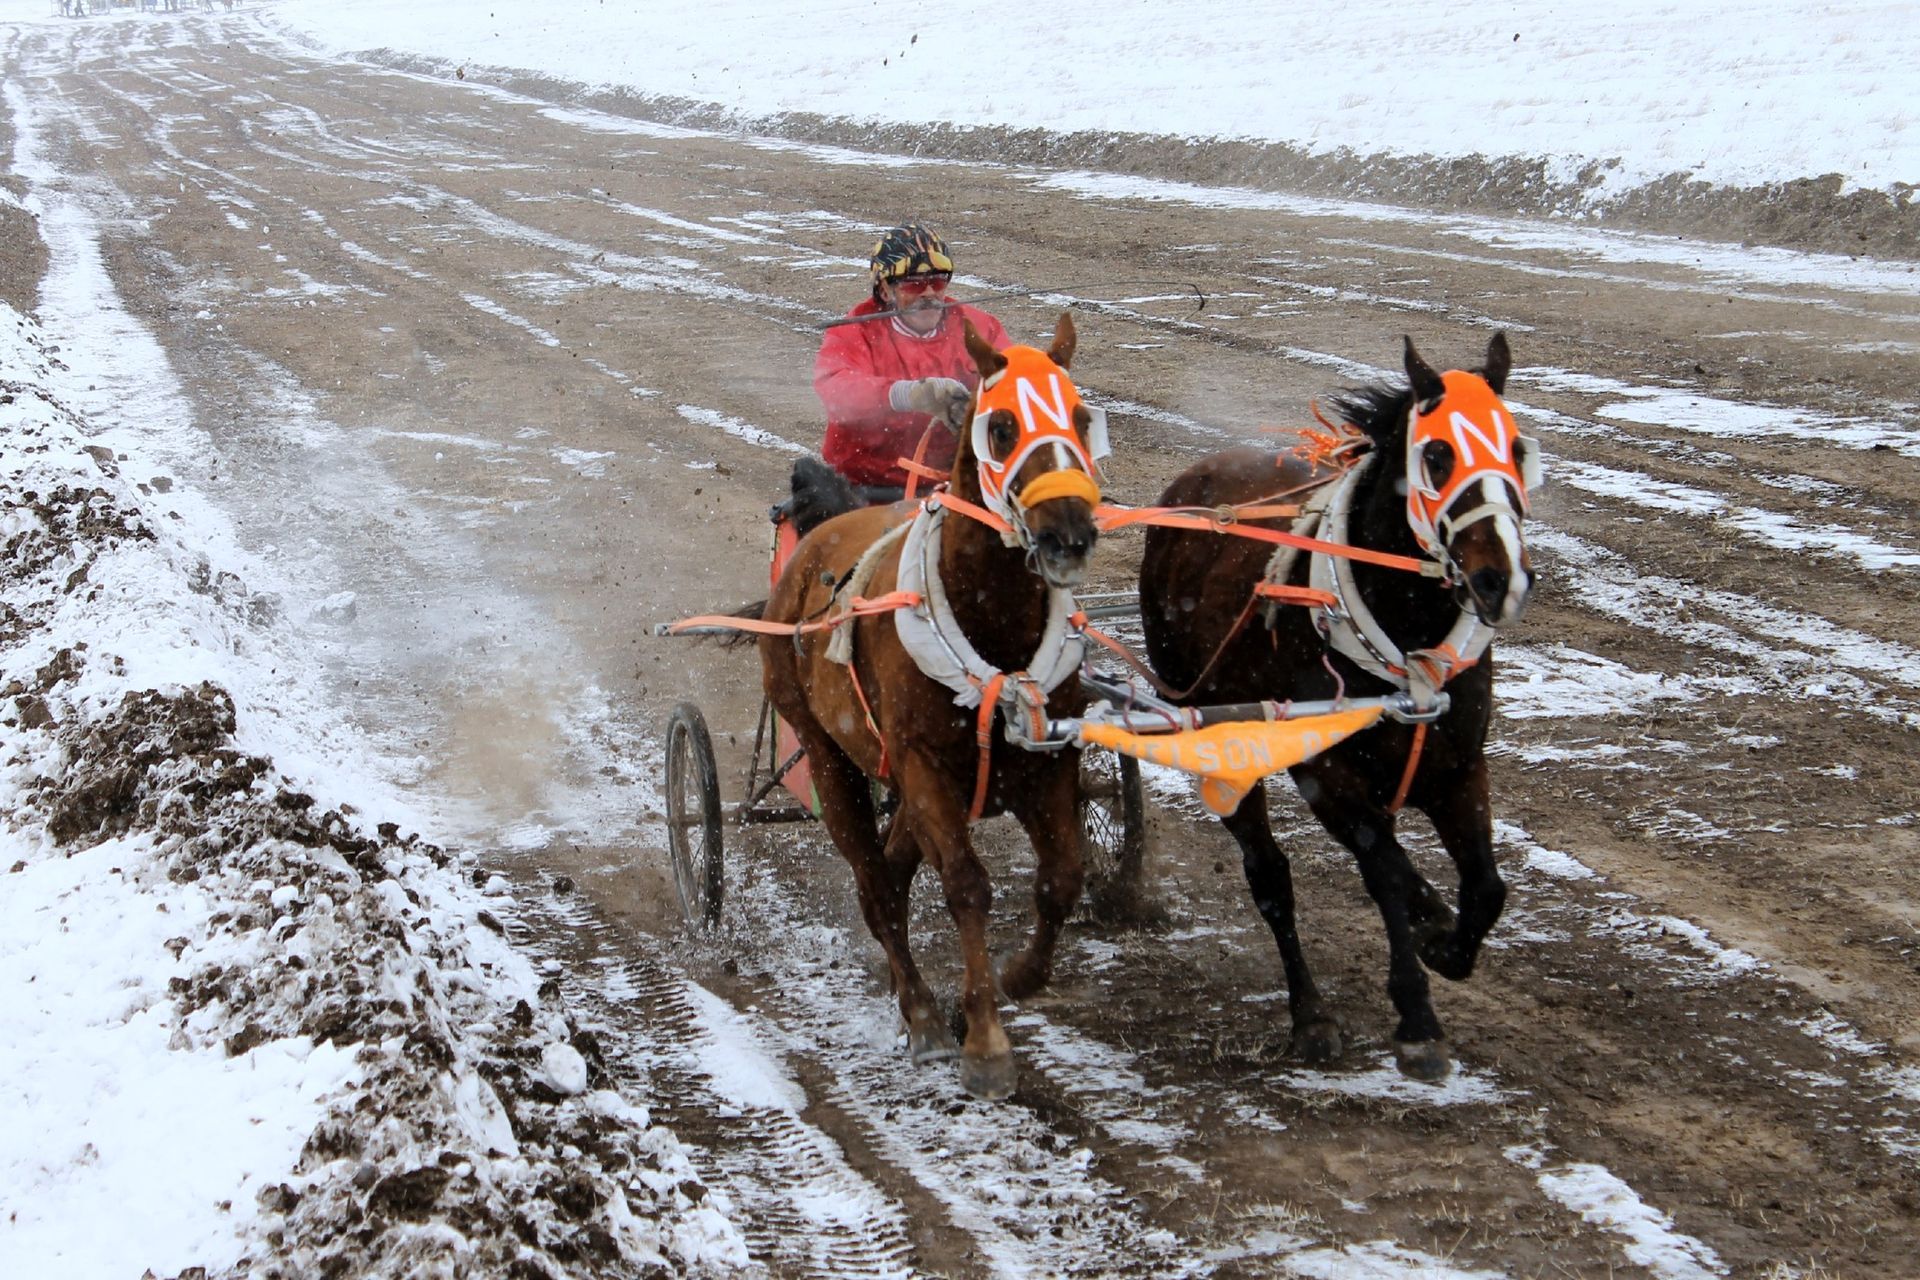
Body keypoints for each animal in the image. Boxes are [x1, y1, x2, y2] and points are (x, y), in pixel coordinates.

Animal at [754, 313, 1103, 1100]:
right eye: (1001, 425)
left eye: (1081, 416)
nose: (1069, 535)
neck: (992, 627)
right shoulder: (924, 767)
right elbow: (967, 886)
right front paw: (985, 1041)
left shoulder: (1048, 762)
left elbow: (1063, 878)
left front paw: (1018, 976)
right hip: (830, 756)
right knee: (873, 881)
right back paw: (917, 1010)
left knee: (892, 868)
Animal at [1138, 333, 1538, 1081]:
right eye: (1437, 455)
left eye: (1517, 446)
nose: (1501, 578)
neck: (1403, 642)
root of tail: (1188, 490)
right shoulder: (1331, 777)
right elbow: (1383, 871)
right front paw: (1417, 1015)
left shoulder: (1460, 767)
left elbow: (1485, 886)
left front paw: (1445, 939)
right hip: (1220, 735)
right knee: (1270, 875)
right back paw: (1311, 1015)